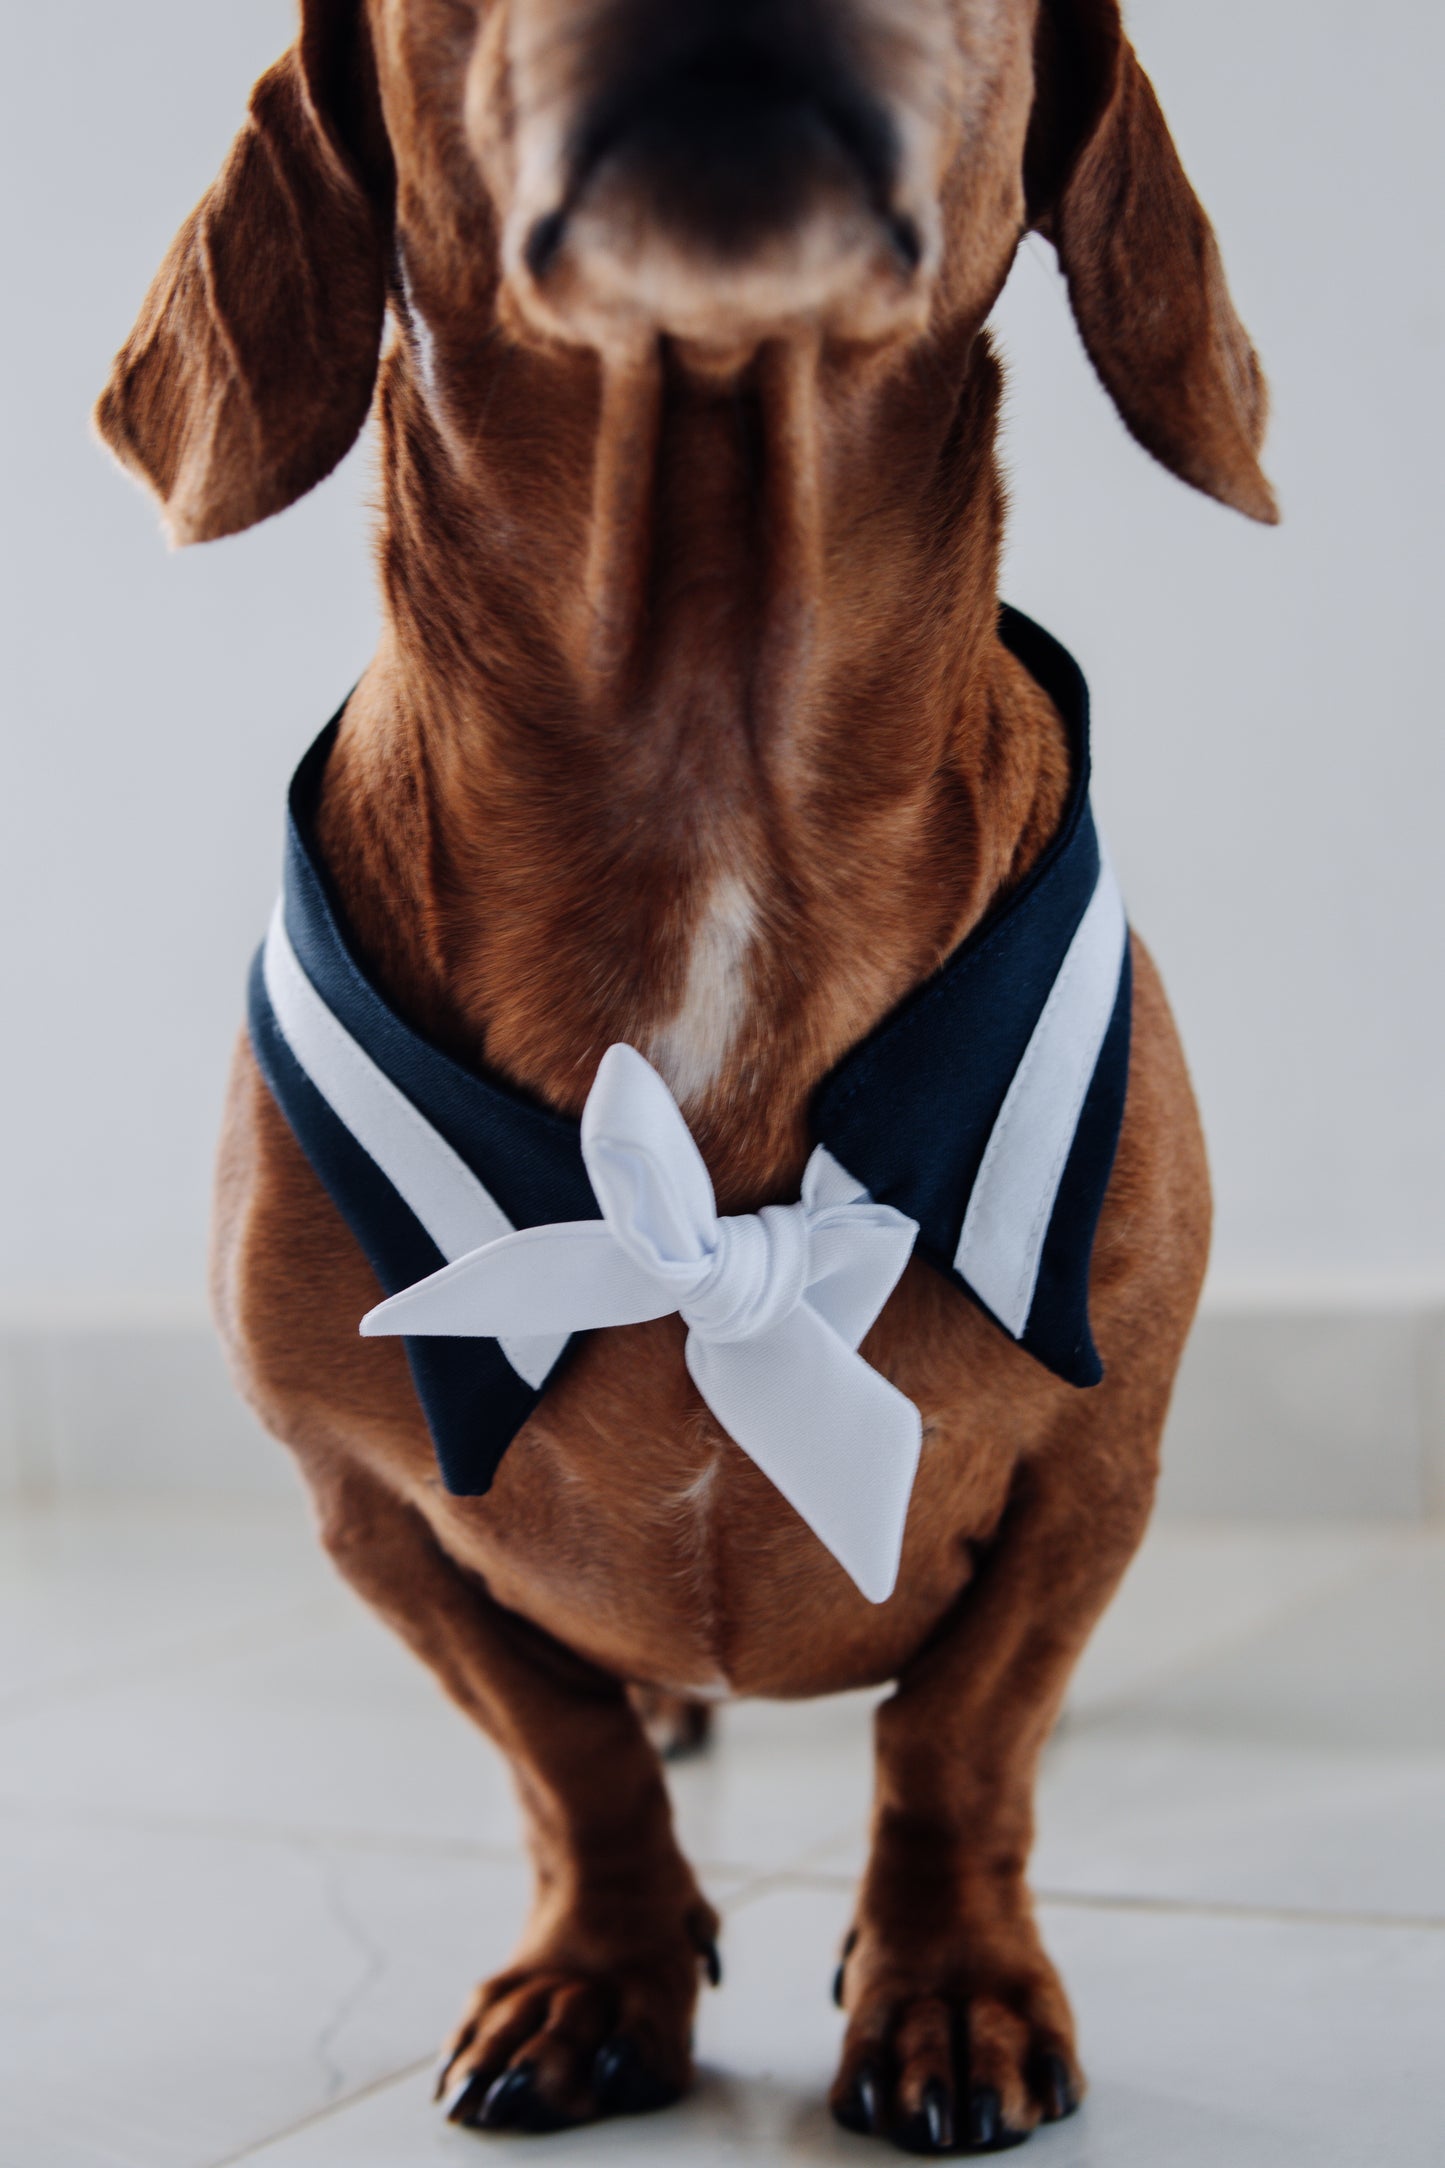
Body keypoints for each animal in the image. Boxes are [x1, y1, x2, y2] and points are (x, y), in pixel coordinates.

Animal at [99, 0, 1273, 2150]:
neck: (708, 752)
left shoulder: (1094, 1465)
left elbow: (961, 1732)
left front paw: (950, 1985)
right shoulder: (367, 1498)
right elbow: (564, 1747)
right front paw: (600, 1970)